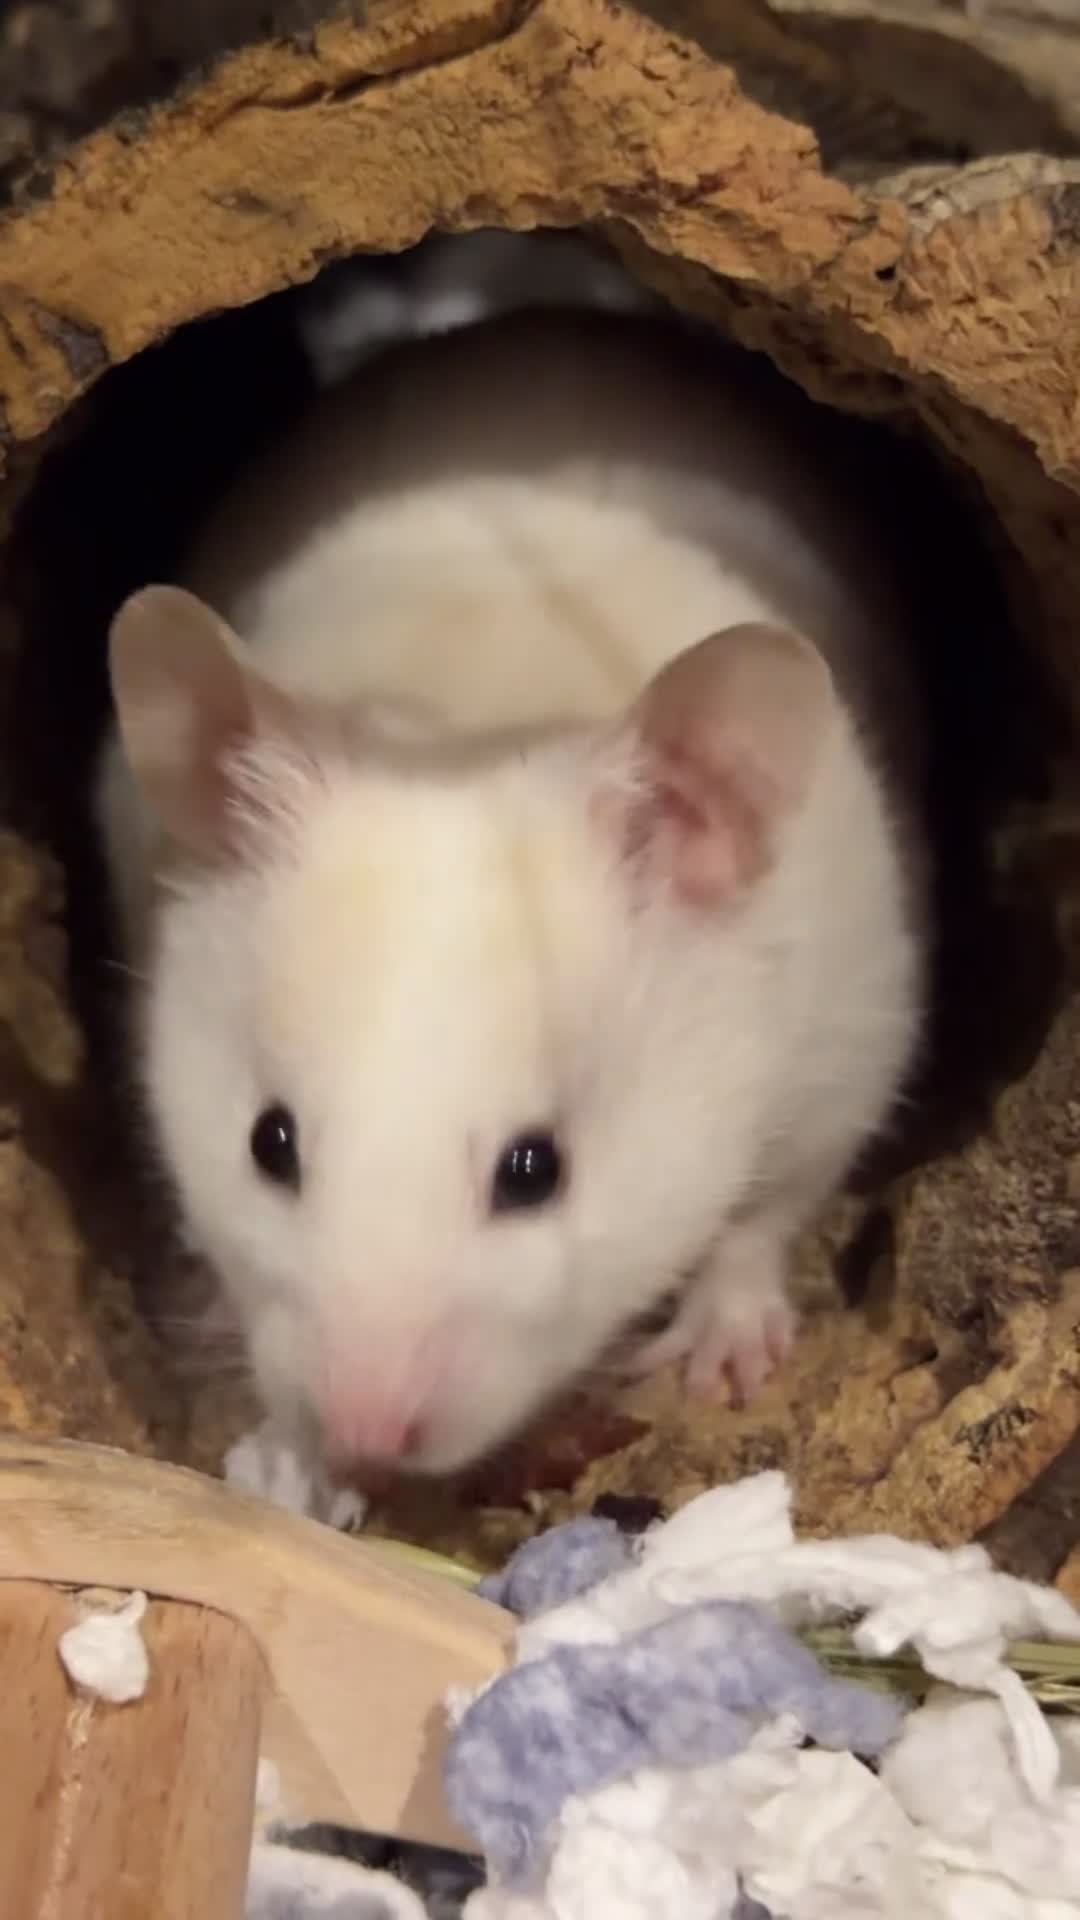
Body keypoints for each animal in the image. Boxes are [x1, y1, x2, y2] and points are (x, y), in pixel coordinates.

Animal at [97, 306, 926, 1481]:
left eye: (537, 1171)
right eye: (269, 1143)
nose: (364, 1437)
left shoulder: (851, 1040)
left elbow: (762, 1216)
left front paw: (718, 1369)